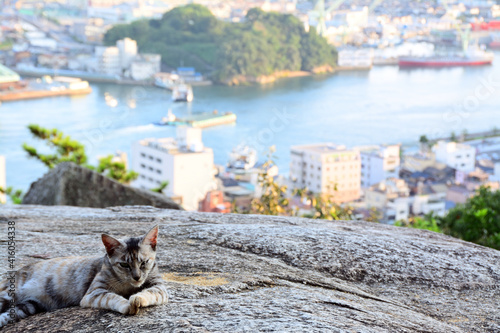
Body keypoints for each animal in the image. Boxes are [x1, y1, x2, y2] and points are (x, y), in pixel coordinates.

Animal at [0, 223, 170, 326]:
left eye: (144, 262)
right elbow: (112, 297)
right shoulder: (94, 293)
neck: (128, 285)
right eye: (124, 264)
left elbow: (149, 292)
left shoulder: (160, 288)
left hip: (27, 307)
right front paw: (127, 304)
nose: (137, 277)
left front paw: (137, 298)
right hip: (7, 295)